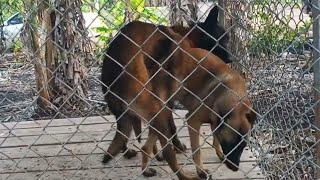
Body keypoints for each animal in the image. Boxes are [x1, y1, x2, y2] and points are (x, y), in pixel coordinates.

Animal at [101, 5, 229, 163]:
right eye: (222, 40)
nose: (230, 58)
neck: (187, 37)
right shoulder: (168, 97)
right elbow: (171, 126)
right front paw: (177, 146)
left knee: (125, 130)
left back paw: (128, 152)